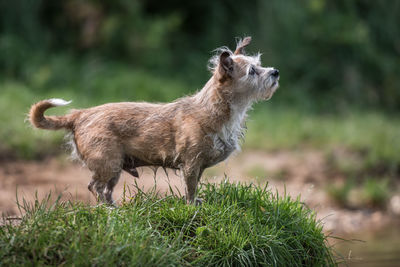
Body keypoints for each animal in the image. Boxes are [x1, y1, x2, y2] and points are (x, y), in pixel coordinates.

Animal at [29, 37, 280, 205]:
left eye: (260, 65)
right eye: (252, 71)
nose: (275, 72)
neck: (213, 110)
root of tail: (80, 114)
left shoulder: (198, 166)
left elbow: (195, 187)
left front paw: (197, 202)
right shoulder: (191, 164)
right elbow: (190, 189)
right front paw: (191, 207)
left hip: (115, 168)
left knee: (105, 190)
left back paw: (114, 209)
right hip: (108, 162)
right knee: (95, 187)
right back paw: (107, 210)